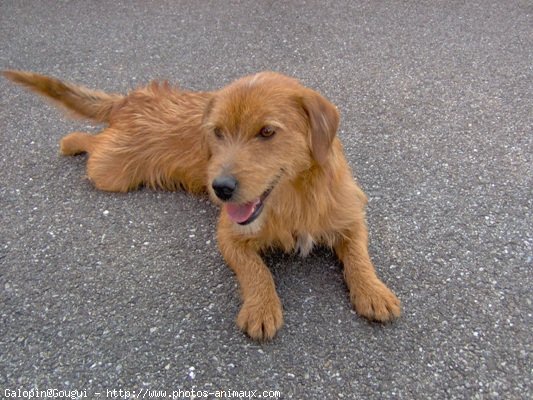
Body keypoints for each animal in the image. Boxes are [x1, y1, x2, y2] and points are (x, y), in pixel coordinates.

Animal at [3, 70, 400, 340]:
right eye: (217, 132)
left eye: (267, 132)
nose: (220, 188)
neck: (296, 199)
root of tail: (130, 99)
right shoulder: (228, 235)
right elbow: (257, 270)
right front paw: (261, 307)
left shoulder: (349, 216)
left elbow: (358, 254)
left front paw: (373, 291)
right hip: (110, 171)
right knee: (94, 142)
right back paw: (71, 141)